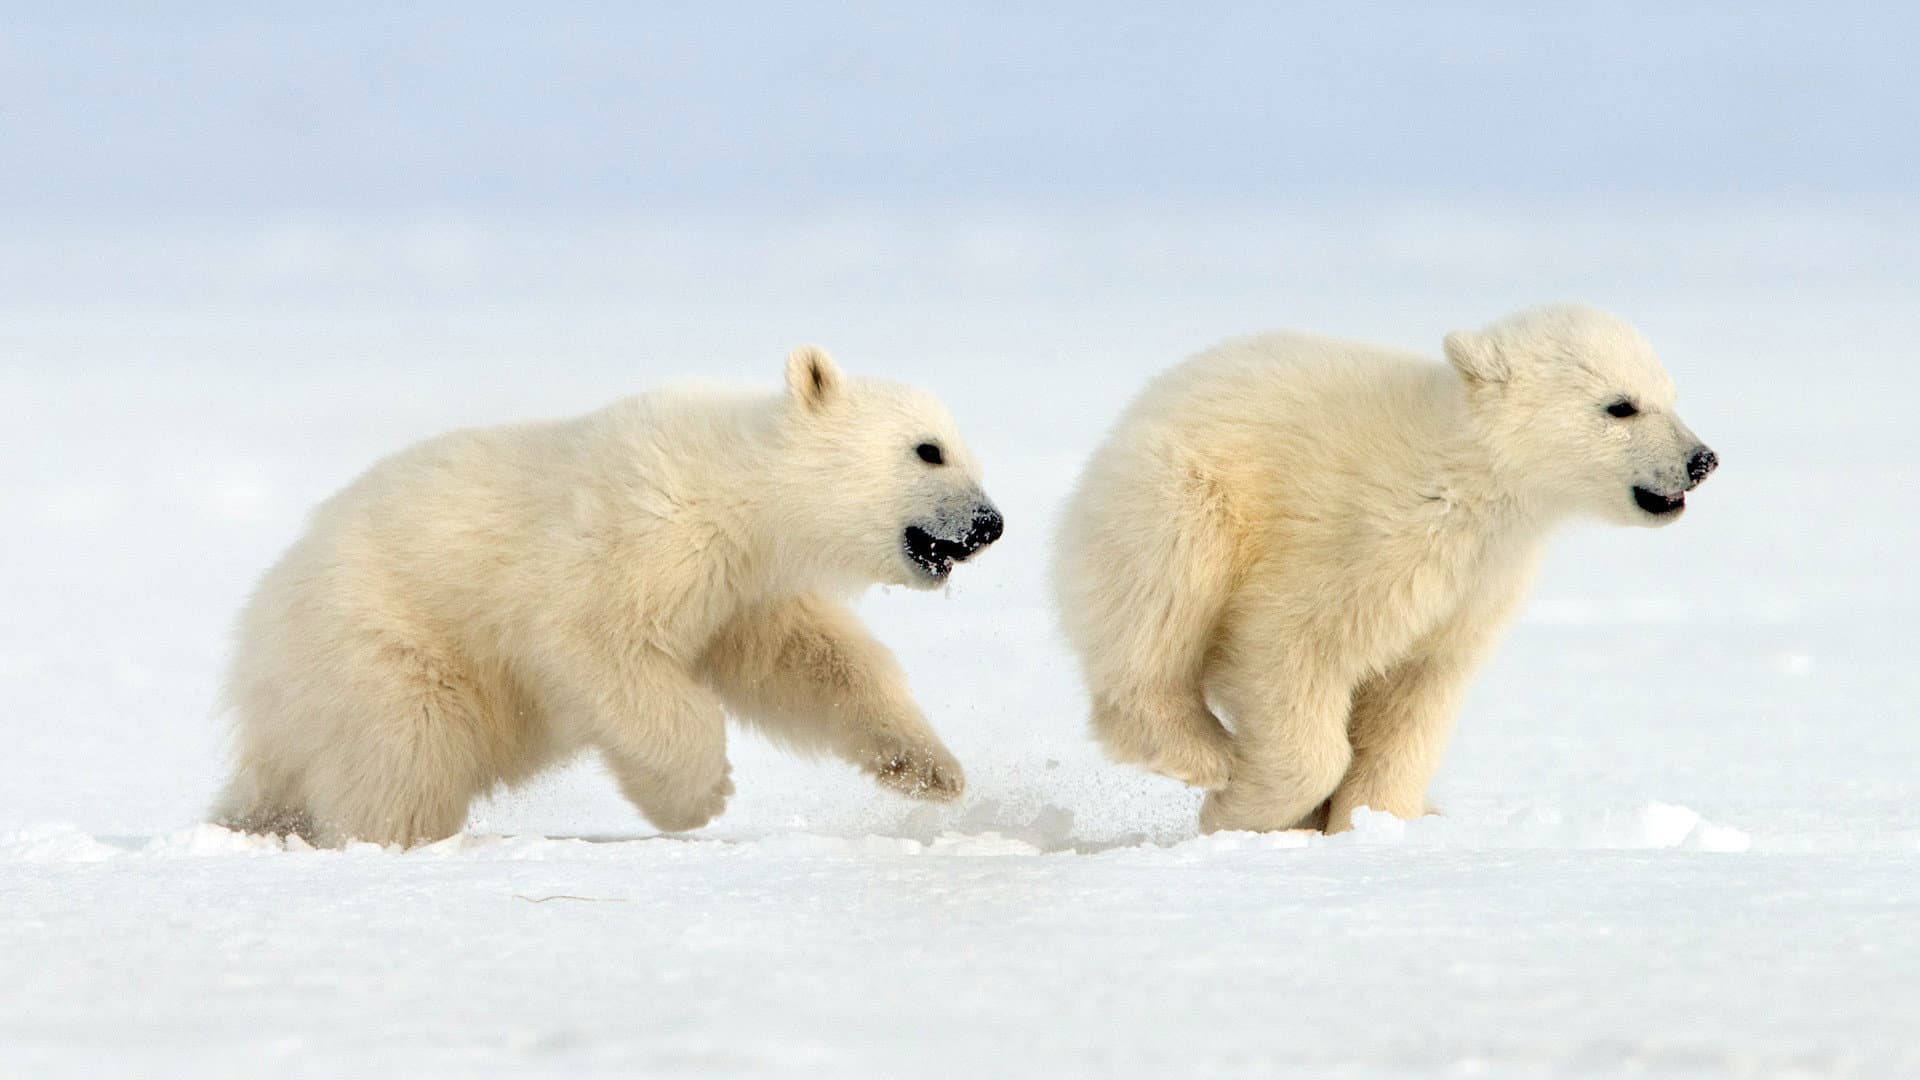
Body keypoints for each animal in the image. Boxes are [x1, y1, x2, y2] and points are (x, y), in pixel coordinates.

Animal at [214, 346, 1003, 847]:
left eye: (968, 451)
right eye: (928, 449)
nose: (991, 523)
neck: (736, 486)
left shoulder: (745, 593)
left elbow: (810, 662)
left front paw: (931, 768)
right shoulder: (644, 534)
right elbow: (596, 645)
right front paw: (701, 795)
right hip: (382, 641)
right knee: (406, 754)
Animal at [1052, 304, 1716, 834]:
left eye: (1669, 395)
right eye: (1620, 406)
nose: (1702, 460)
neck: (1461, 474)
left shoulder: (1475, 587)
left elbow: (1415, 699)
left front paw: (1372, 824)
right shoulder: (1362, 541)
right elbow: (1290, 645)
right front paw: (1240, 808)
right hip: (1176, 495)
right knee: (1159, 607)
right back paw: (1201, 752)